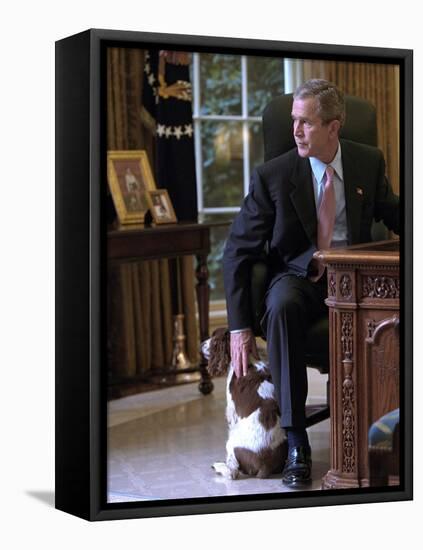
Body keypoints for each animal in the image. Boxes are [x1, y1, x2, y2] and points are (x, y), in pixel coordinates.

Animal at [202, 330, 288, 480]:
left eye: (213, 339)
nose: (201, 344)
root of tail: (264, 464)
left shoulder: (232, 410)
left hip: (231, 442)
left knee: (233, 472)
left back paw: (220, 467)